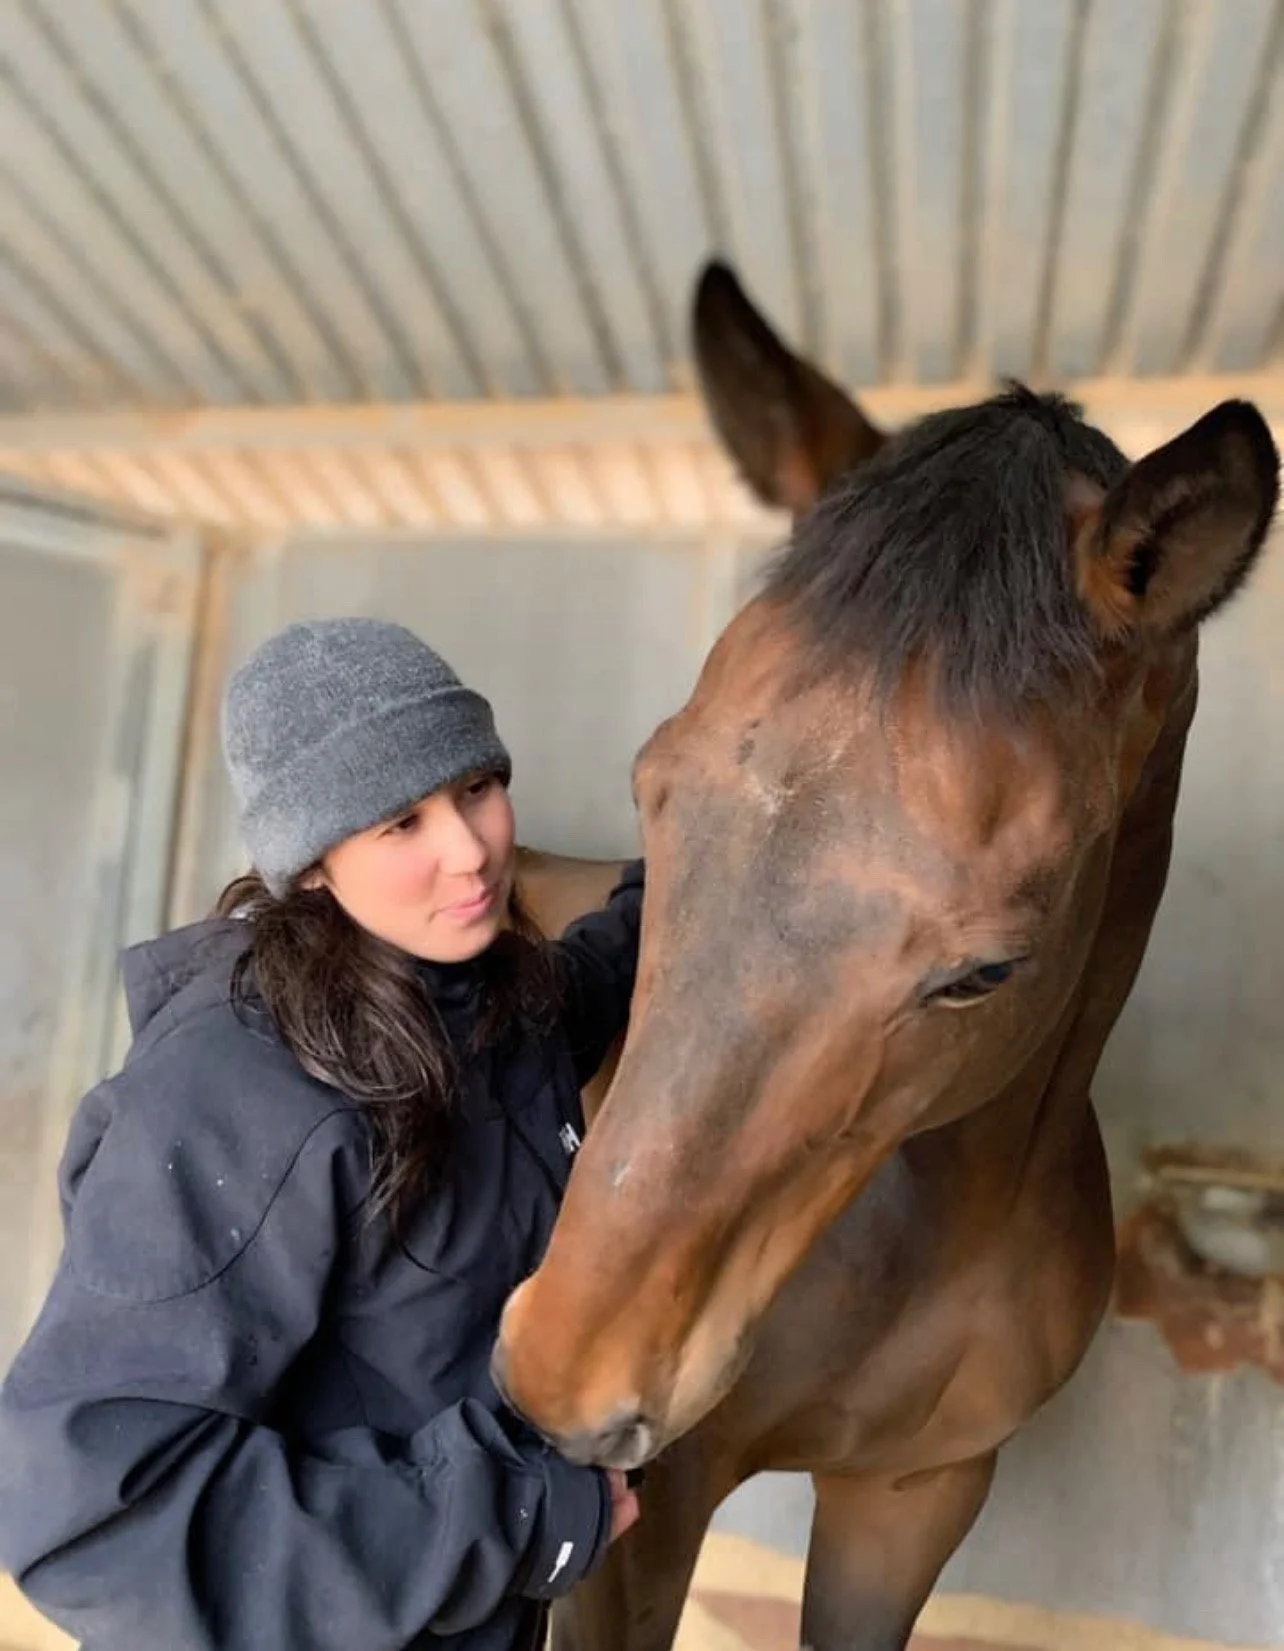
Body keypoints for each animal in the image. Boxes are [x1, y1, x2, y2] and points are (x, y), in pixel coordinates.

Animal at [506, 261, 1280, 1651]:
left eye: (986, 971)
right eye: (655, 789)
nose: (565, 1367)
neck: (936, 1229)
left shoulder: (913, 1496)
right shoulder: (643, 1520)